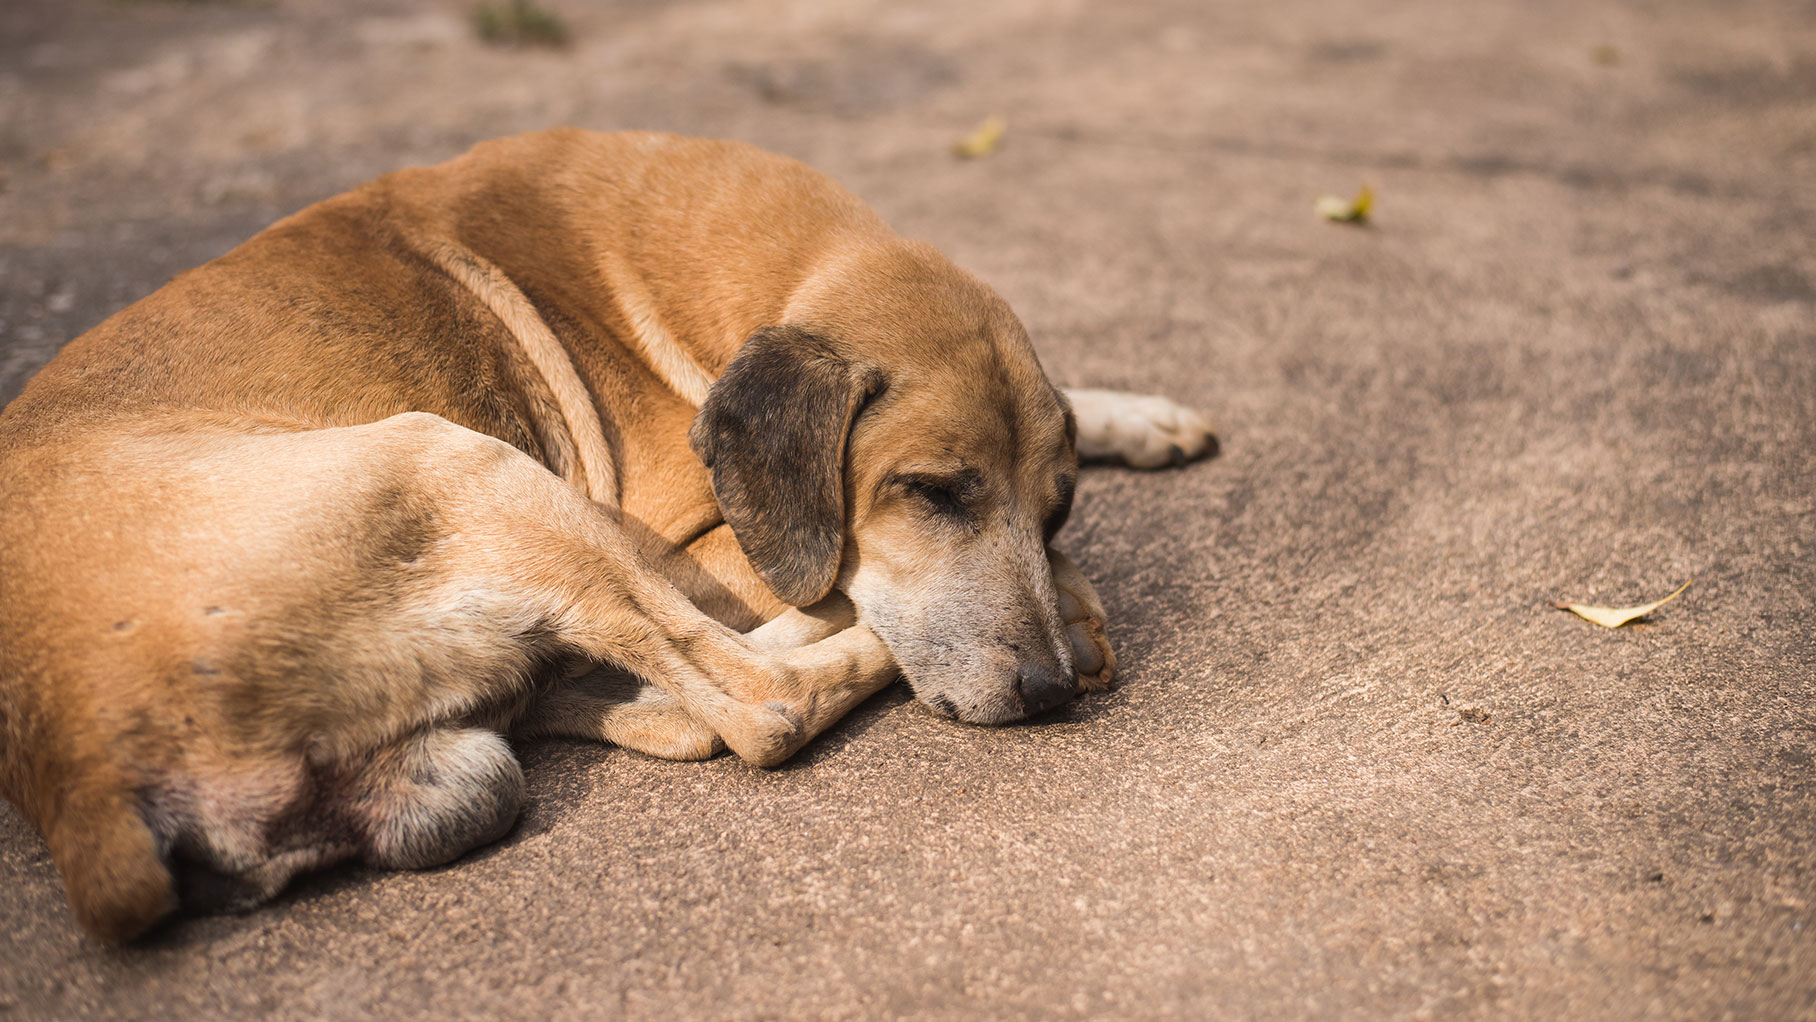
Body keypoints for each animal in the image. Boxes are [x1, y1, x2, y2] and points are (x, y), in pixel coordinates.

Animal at [7, 127, 1220, 943]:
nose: (1049, 689)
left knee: (654, 706)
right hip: (469, 463)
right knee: (754, 706)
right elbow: (815, 600)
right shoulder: (690, 546)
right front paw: (1067, 588)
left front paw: (1131, 419)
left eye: (1055, 501)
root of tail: (74, 779)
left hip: (475, 746)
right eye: (930, 491)